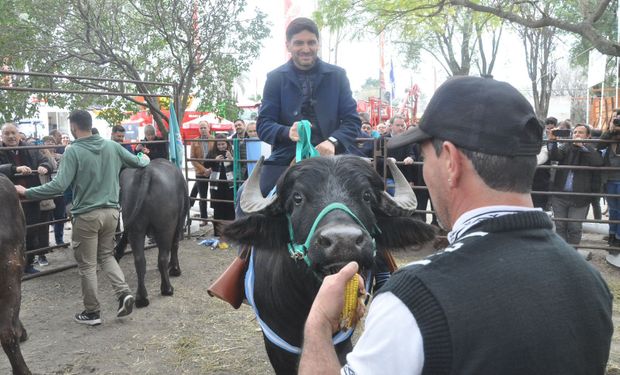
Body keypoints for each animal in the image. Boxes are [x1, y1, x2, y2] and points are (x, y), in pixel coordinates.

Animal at [115, 159, 189, 308]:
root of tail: (146, 172)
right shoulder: (179, 221)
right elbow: (175, 245)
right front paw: (175, 269)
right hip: (165, 226)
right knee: (162, 257)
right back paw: (167, 289)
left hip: (135, 228)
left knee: (139, 261)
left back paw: (141, 298)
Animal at [224, 155, 436, 374]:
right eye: (297, 198)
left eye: (366, 196)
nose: (343, 241)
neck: (305, 302)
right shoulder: (276, 346)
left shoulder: (341, 341)